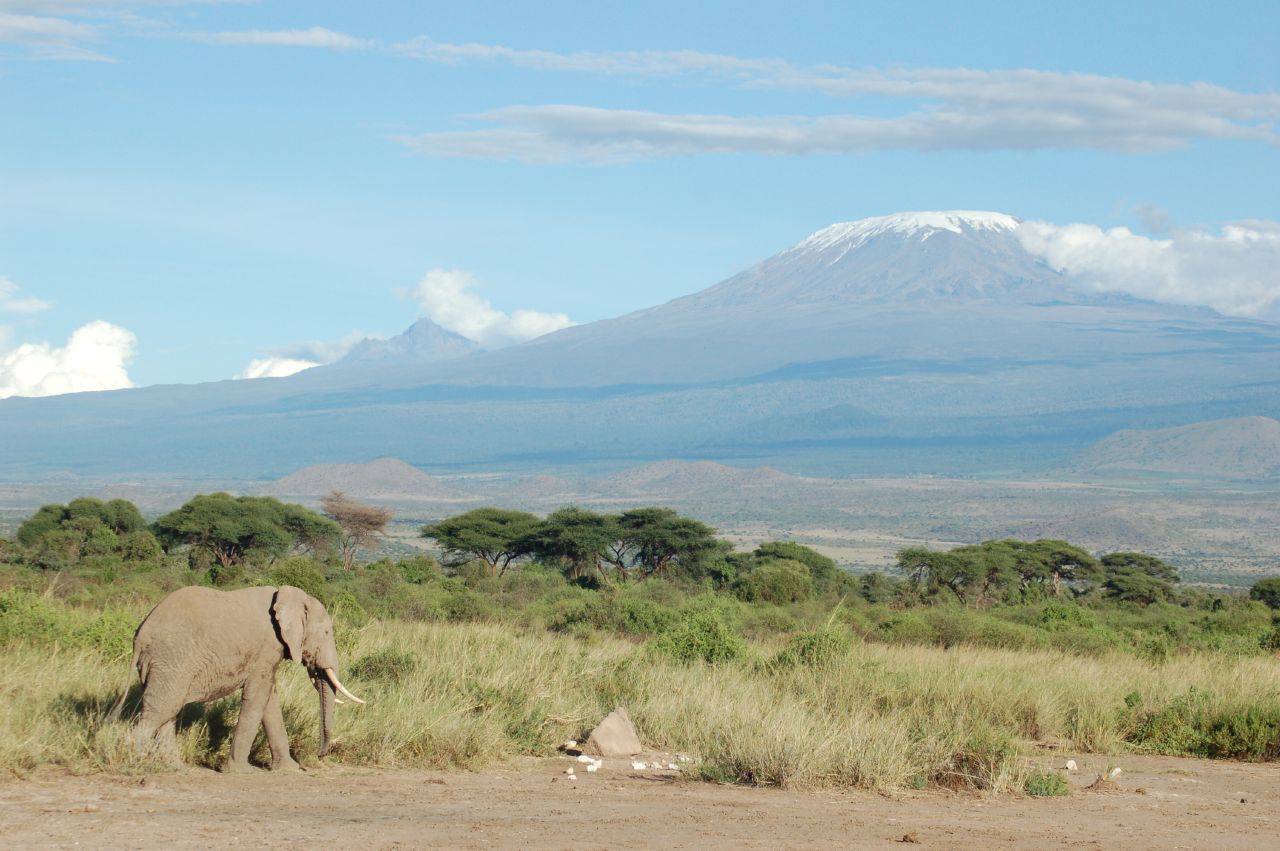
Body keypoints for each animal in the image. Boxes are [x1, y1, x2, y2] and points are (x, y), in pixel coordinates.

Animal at [111, 585, 364, 771]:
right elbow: (257, 698)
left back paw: (175, 767)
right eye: (326, 632)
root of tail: (139, 636)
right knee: (160, 710)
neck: (289, 596)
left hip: (165, 665)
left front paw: (288, 769)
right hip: (172, 658)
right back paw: (135, 762)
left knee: (167, 710)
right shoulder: (266, 647)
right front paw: (241, 771)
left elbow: (269, 702)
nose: (319, 756)